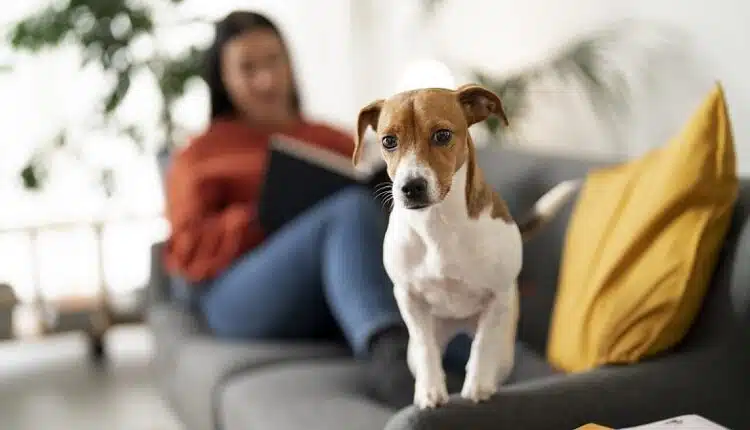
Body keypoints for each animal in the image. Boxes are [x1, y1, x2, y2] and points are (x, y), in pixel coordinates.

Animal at [352, 85, 580, 410]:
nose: (411, 187)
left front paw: (478, 385)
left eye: (442, 135)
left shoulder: (497, 297)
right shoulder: (408, 299)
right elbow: (426, 348)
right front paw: (430, 390)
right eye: (388, 141)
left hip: (505, 348)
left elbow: (483, 345)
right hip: (419, 346)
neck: (438, 225)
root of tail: (459, 326)